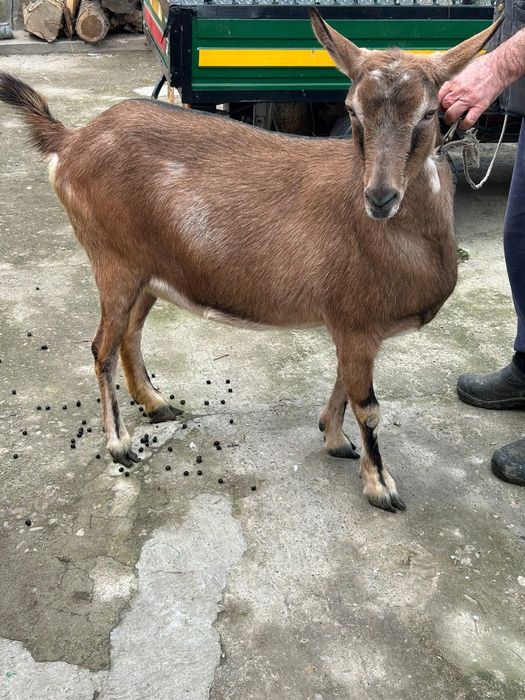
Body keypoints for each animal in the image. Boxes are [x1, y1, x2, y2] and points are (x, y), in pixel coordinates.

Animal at [0, 11, 500, 511]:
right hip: (113, 261)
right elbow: (369, 406)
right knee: (101, 346)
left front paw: (333, 437)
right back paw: (120, 443)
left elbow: (344, 382)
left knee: (129, 335)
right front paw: (381, 486)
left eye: (429, 113)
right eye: (353, 110)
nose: (380, 197)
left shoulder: (352, 326)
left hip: (148, 270)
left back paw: (157, 404)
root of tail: (72, 140)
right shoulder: (357, 320)